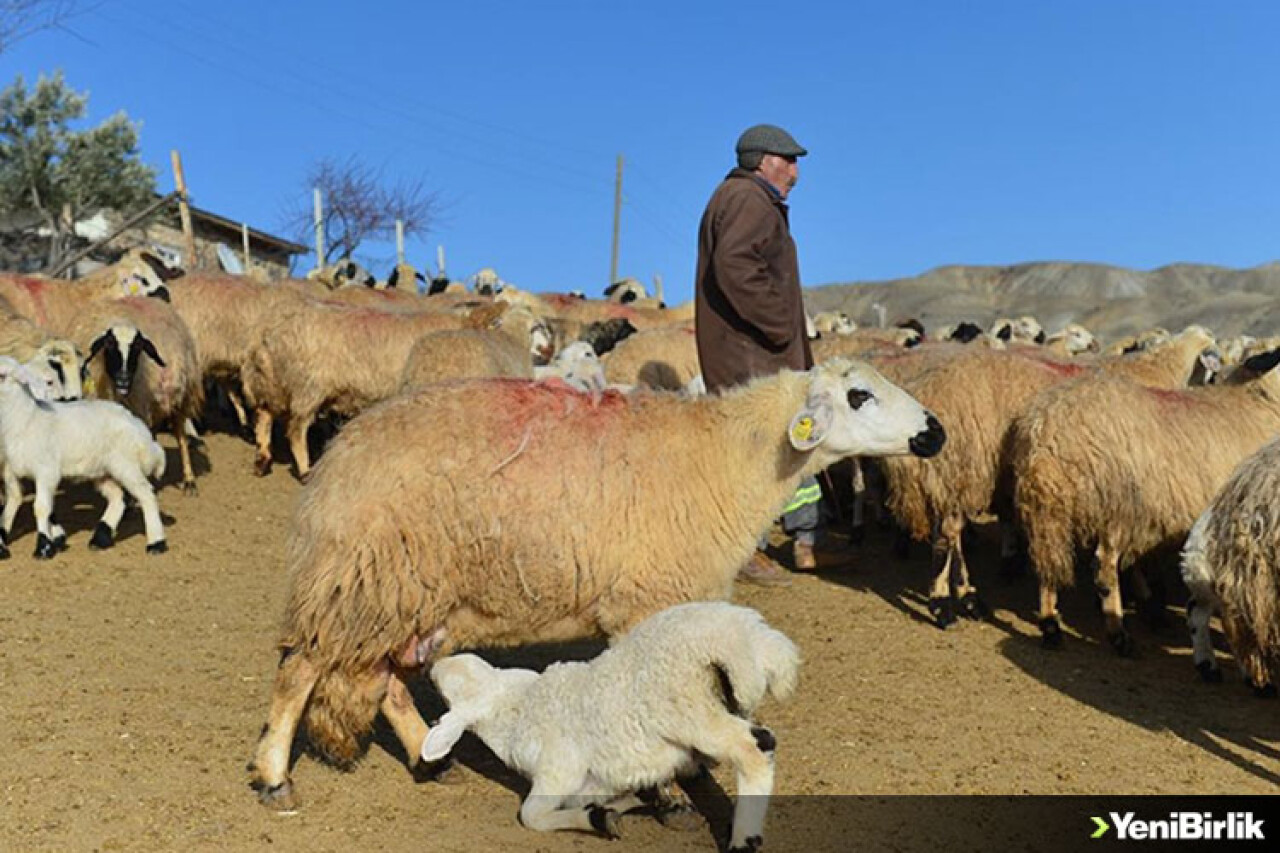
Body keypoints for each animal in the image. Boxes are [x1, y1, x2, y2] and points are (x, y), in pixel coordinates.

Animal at [0, 353, 167, 558]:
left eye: (2, 376)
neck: (26, 419)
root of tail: (138, 426)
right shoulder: (10, 473)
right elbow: (11, 505)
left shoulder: (46, 472)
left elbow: (41, 508)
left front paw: (44, 547)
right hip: (102, 471)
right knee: (117, 498)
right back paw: (100, 538)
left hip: (126, 465)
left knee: (146, 495)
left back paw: (156, 543)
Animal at [249, 356, 947, 809]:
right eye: (859, 396)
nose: (935, 432)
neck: (730, 458)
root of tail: (341, 450)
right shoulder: (647, 599)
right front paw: (668, 790)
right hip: (362, 580)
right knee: (299, 672)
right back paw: (275, 778)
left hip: (405, 593)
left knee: (389, 682)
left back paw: (430, 759)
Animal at [419, 596, 798, 850]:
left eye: (447, 689)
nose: (431, 667)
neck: (516, 706)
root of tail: (740, 635)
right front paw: (618, 807)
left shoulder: (558, 772)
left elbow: (531, 816)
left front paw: (597, 818)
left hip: (690, 711)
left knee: (756, 747)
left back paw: (743, 839)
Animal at [1008, 345, 1280, 650]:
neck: (1255, 399)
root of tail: (1046, 432)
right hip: (1115, 504)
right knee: (1103, 568)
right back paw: (1118, 634)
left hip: (1048, 511)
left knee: (1048, 565)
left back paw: (1050, 624)